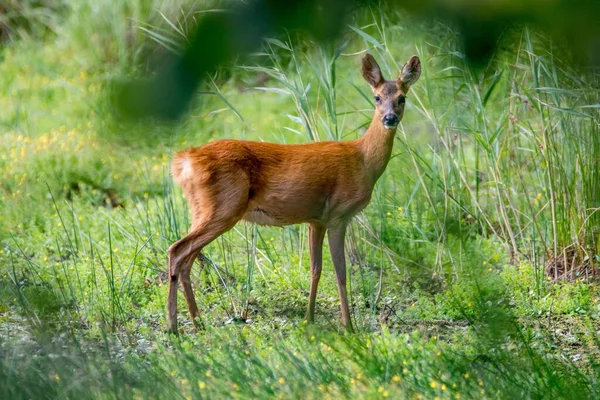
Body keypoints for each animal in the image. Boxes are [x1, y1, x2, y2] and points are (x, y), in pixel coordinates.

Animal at [168, 54, 422, 334]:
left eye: (402, 98)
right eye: (376, 97)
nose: (389, 118)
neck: (362, 160)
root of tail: (185, 160)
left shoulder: (316, 220)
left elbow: (316, 269)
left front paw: (309, 318)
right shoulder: (338, 215)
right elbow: (341, 272)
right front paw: (348, 325)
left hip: (201, 208)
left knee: (187, 259)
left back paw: (197, 323)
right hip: (224, 207)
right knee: (177, 250)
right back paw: (174, 326)